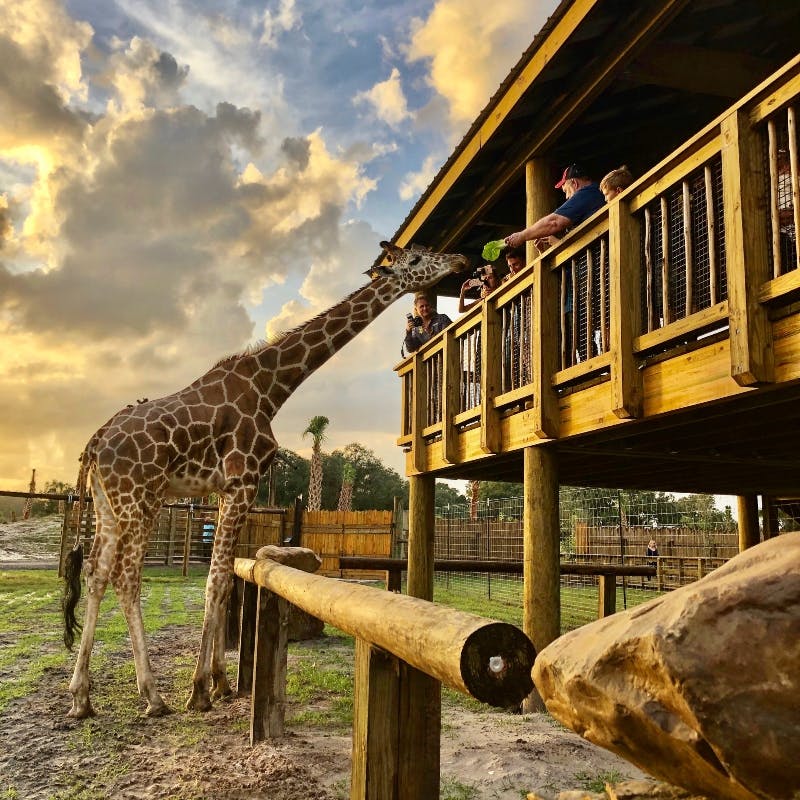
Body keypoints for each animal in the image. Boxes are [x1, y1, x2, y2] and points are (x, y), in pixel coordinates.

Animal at [61, 242, 468, 719]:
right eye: (417, 260)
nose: (459, 261)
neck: (270, 389)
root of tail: (96, 442)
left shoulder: (227, 491)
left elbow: (224, 578)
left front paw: (219, 682)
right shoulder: (243, 481)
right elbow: (217, 581)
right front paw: (199, 690)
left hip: (108, 502)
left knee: (96, 571)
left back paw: (81, 697)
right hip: (141, 497)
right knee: (126, 576)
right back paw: (153, 696)